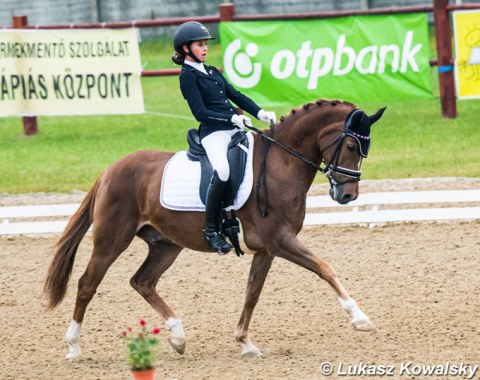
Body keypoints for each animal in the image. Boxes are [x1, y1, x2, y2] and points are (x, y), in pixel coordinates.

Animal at [43, 98, 384, 360]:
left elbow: (252, 293)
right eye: (351, 145)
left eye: (364, 149)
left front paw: (245, 343)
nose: (348, 196)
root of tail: (109, 171)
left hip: (166, 244)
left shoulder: (266, 249)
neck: (280, 164)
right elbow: (325, 268)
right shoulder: (280, 240)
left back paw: (178, 337)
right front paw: (360, 318)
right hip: (111, 240)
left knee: (142, 281)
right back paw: (73, 348)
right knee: (87, 285)